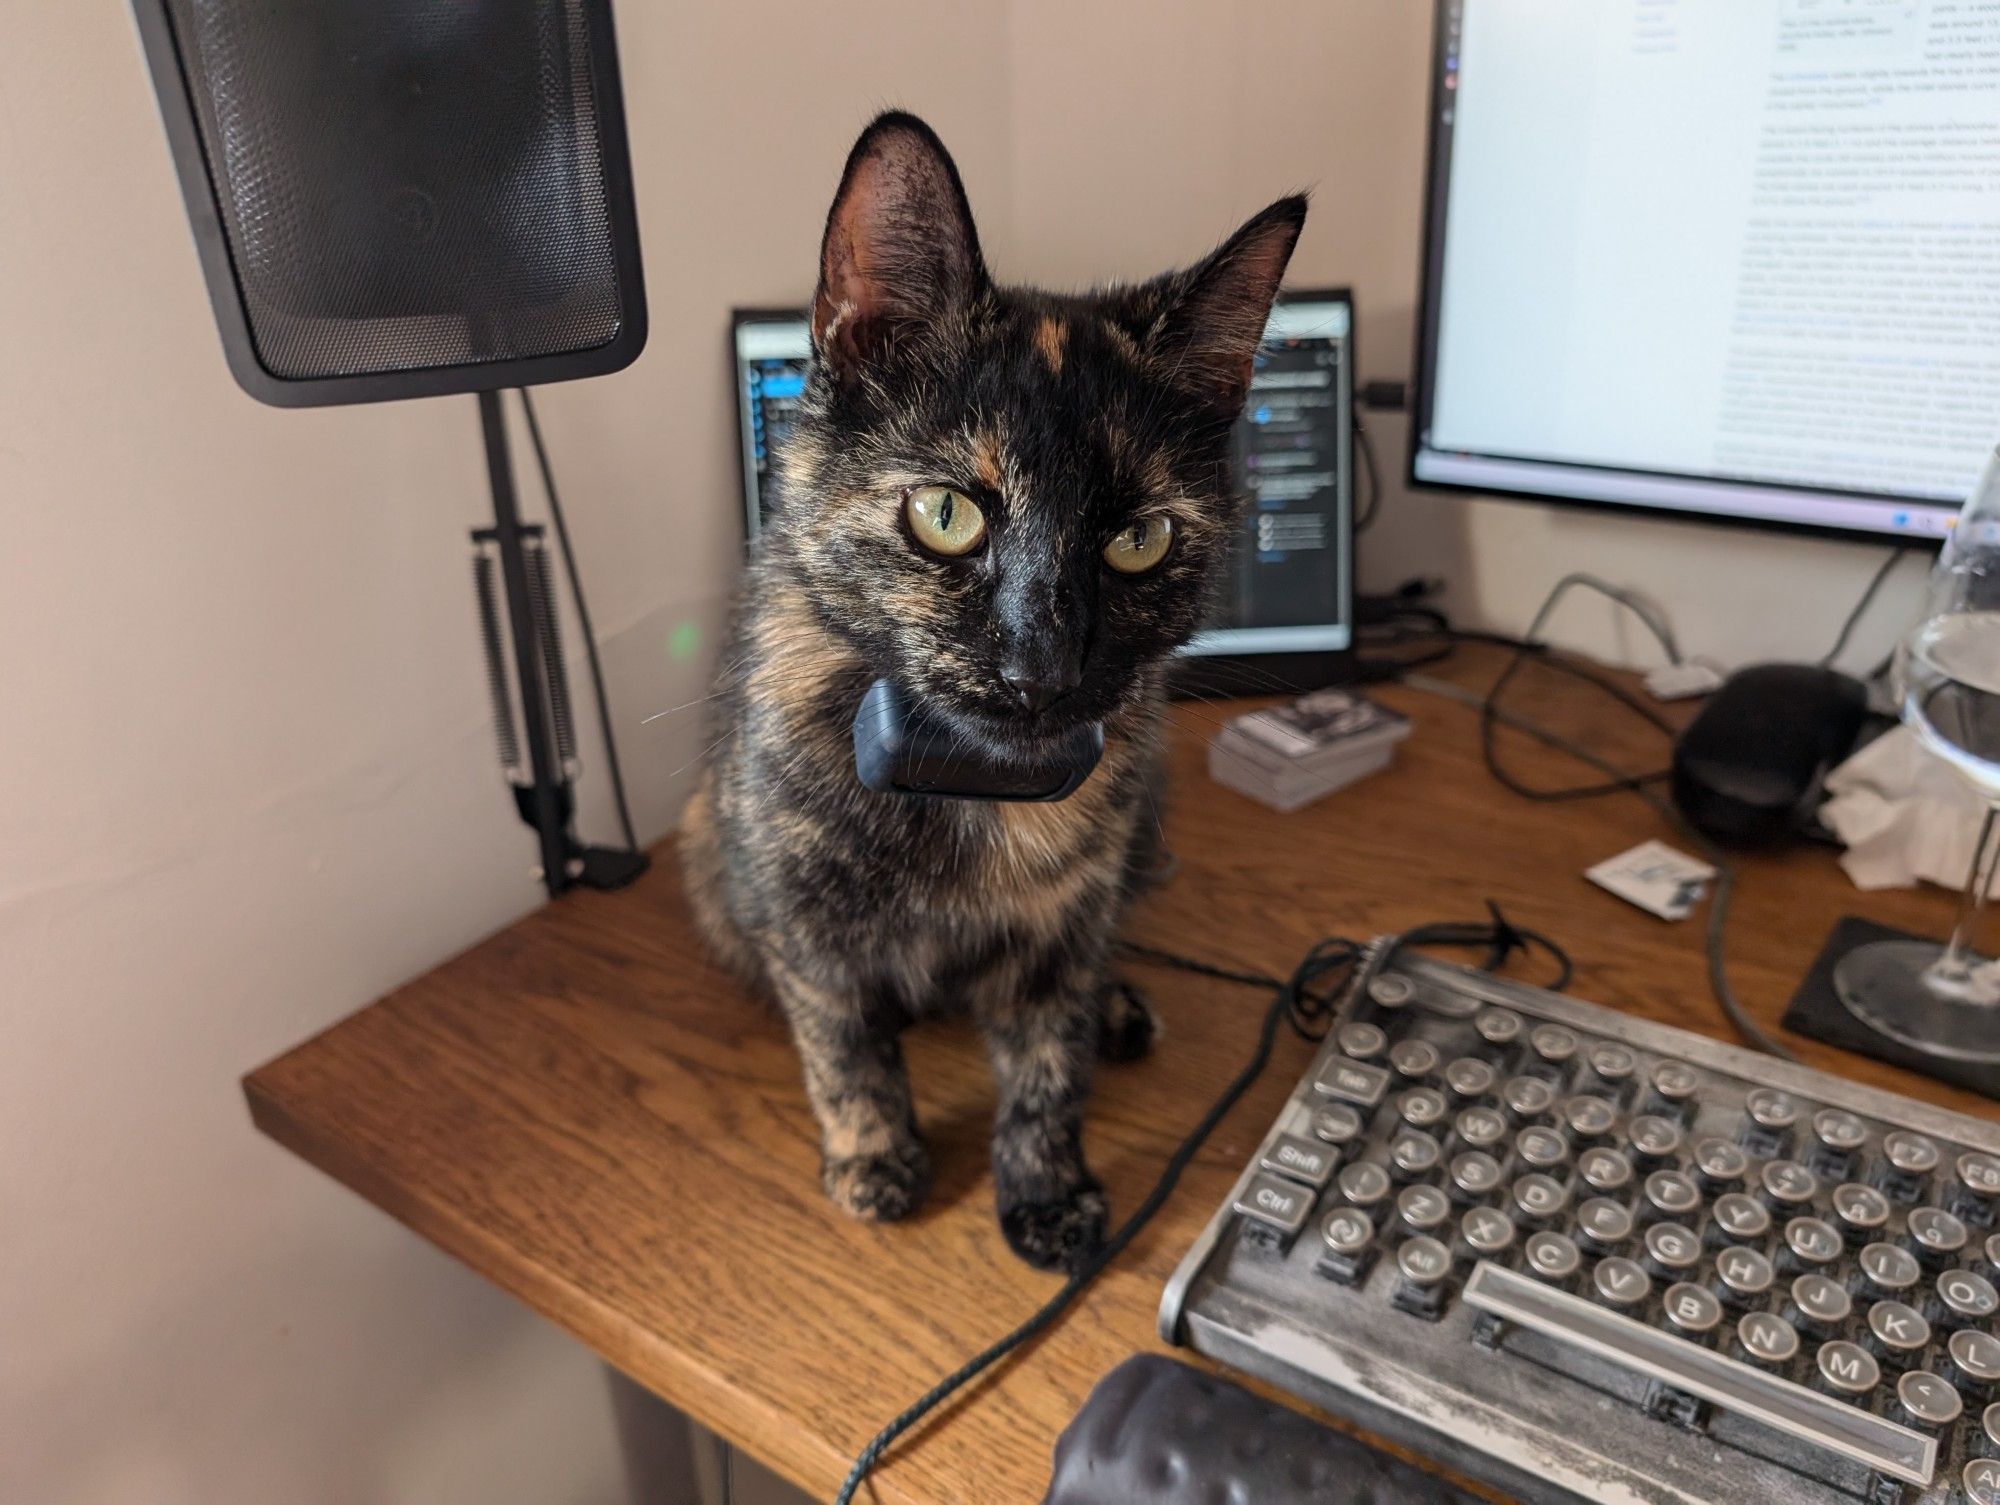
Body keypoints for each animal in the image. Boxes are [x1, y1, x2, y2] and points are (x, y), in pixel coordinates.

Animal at [684, 111, 1312, 1272]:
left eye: (1138, 538)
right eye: (946, 514)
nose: (1041, 667)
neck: (970, 790)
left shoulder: (1061, 929)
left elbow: (1046, 1070)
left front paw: (1047, 1191)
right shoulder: (803, 919)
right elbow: (842, 1043)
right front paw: (874, 1157)